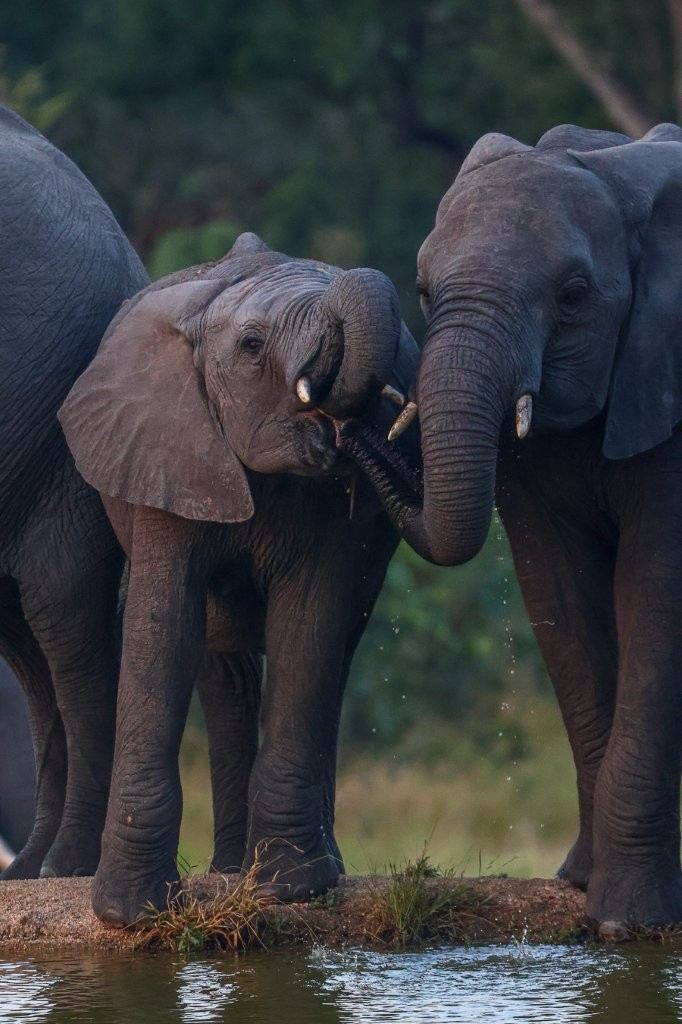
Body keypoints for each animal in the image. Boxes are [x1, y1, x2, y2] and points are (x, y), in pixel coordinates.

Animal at [58, 232, 419, 926]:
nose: (355, 423)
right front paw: (133, 916)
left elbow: (307, 629)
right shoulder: (165, 450)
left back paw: (294, 870)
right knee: (223, 666)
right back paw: (230, 872)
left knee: (330, 660)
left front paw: (292, 891)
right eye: (252, 346)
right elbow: (164, 631)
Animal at [339, 123, 682, 935]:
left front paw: (627, 922)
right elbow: (558, 594)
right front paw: (583, 884)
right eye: (425, 291)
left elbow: (657, 590)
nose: (348, 416)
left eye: (574, 295)